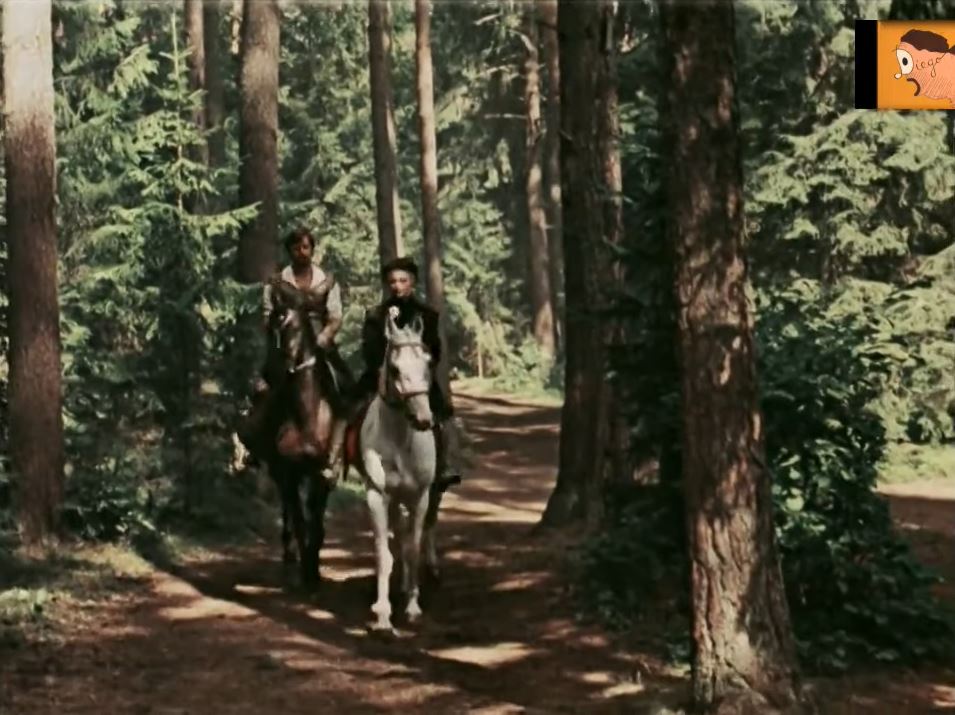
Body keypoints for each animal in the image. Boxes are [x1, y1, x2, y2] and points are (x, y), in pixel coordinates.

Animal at [347, 307, 439, 631]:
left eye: (428, 363)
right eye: (396, 369)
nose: (424, 420)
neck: (400, 439)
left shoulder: (421, 496)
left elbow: (412, 549)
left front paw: (413, 607)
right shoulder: (377, 495)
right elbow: (383, 554)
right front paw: (384, 614)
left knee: (412, 535)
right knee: (396, 535)